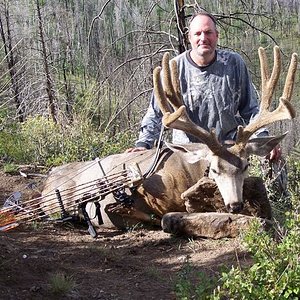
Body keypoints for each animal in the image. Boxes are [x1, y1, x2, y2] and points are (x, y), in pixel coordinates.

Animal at [0, 46, 296, 239]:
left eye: (245, 166)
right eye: (213, 169)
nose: (234, 205)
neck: (186, 176)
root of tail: (46, 179)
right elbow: (165, 218)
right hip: (53, 204)